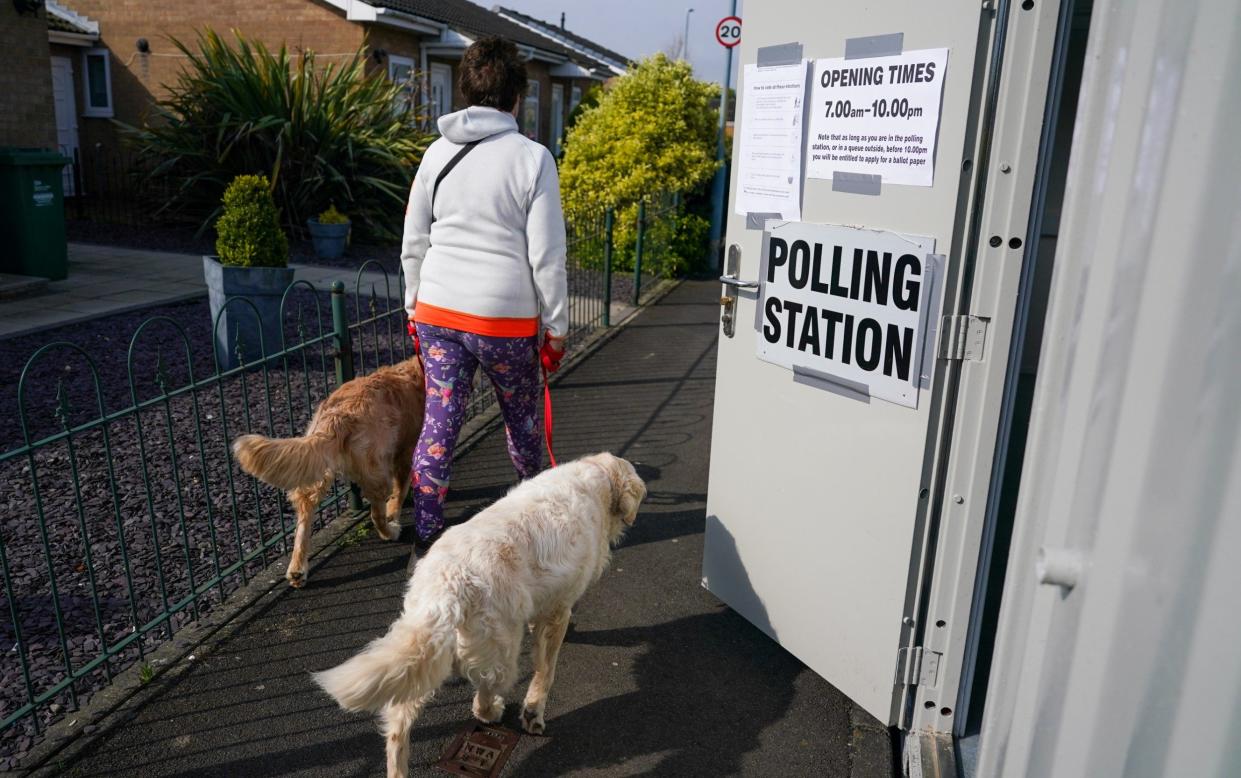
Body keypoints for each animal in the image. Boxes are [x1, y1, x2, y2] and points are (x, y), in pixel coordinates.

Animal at [233, 357, 426, 588]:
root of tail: (339, 414)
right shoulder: (406, 454)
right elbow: (398, 494)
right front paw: (395, 513)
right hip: (376, 469)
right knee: (377, 514)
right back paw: (390, 531)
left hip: (317, 466)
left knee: (305, 508)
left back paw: (297, 569)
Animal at [312, 454, 650, 774]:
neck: (598, 478)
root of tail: (448, 582)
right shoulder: (558, 609)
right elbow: (545, 670)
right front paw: (534, 711)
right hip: (501, 650)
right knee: (485, 692)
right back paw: (494, 710)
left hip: (425, 647)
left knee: (398, 724)